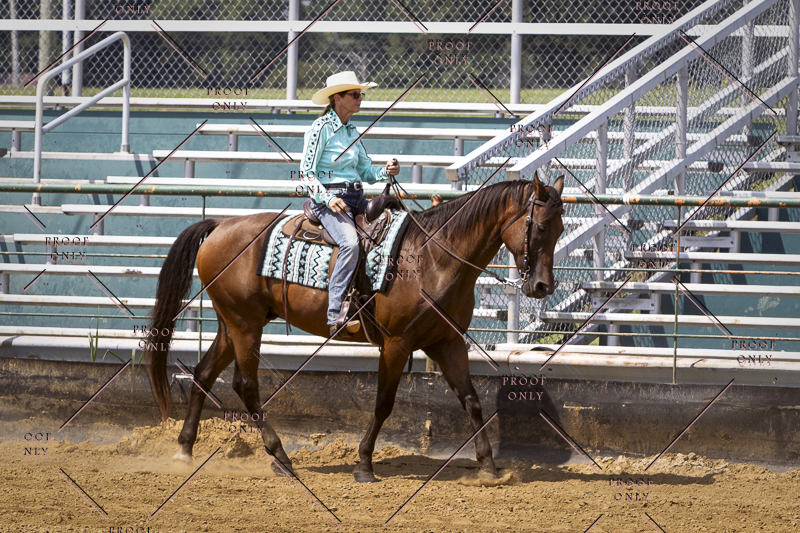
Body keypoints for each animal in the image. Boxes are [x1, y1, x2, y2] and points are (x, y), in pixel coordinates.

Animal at [146, 174, 565, 483]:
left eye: (560, 229)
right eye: (542, 227)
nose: (543, 287)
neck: (432, 258)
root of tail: (220, 225)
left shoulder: (447, 342)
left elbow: (472, 401)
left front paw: (490, 468)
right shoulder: (396, 344)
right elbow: (383, 404)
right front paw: (364, 465)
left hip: (231, 324)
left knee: (203, 374)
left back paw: (184, 450)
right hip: (245, 326)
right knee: (245, 386)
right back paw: (281, 457)